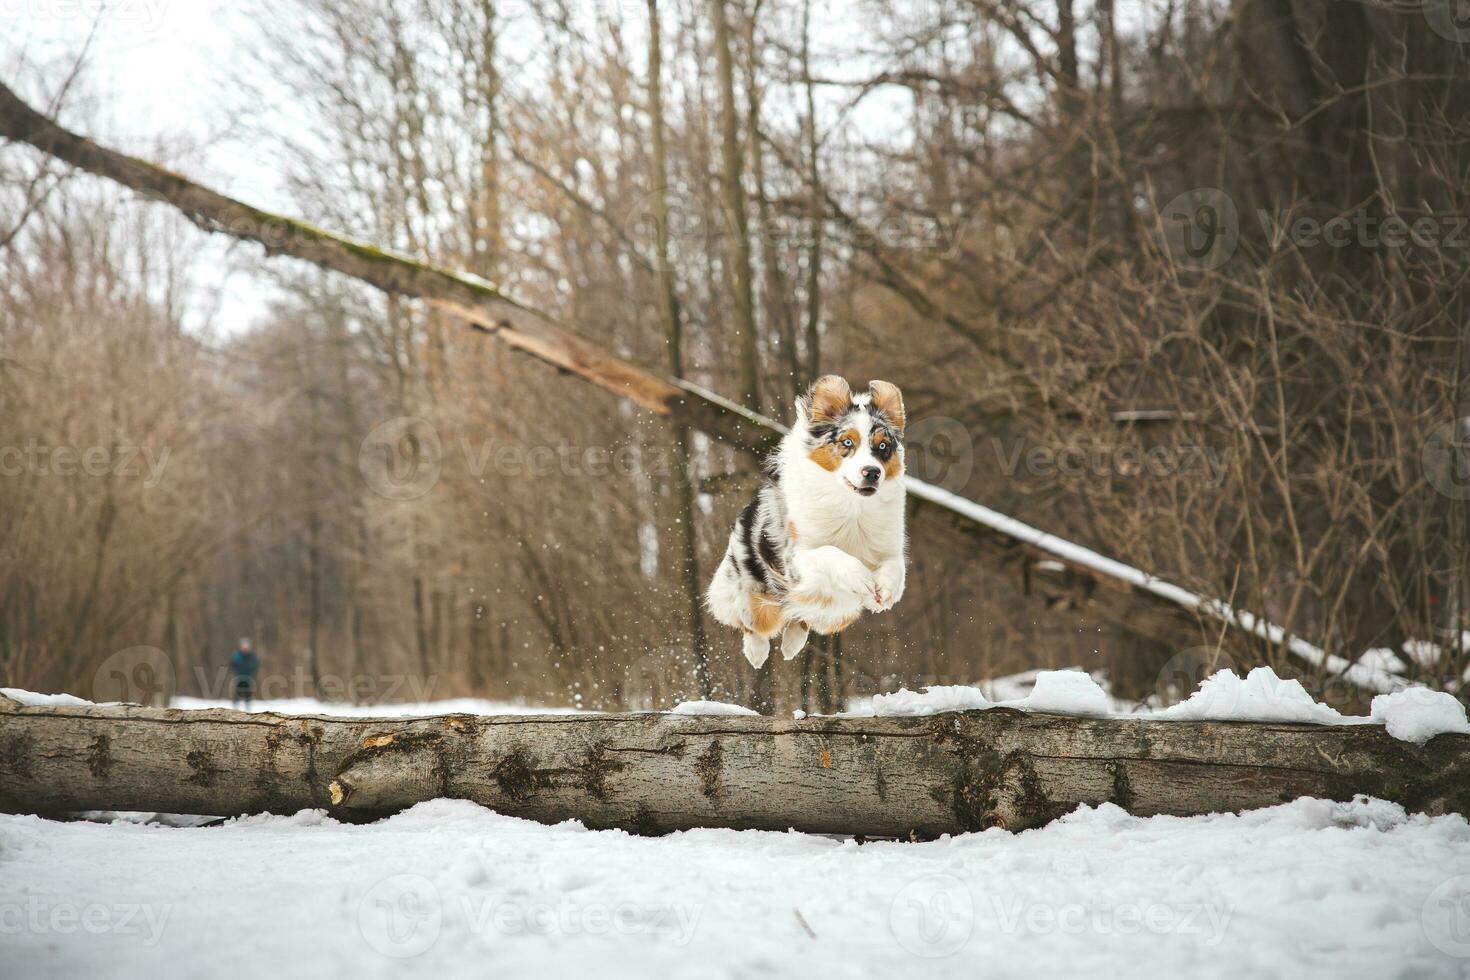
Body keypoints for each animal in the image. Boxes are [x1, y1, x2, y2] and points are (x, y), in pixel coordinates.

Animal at [702, 376, 899, 667]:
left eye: (883, 446)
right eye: (847, 443)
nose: (872, 472)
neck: (852, 506)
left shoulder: (886, 545)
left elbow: (896, 566)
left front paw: (885, 591)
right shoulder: (794, 557)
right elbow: (829, 551)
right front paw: (860, 577)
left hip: (837, 616)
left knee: (803, 616)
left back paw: (792, 643)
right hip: (749, 593)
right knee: (752, 621)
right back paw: (757, 652)